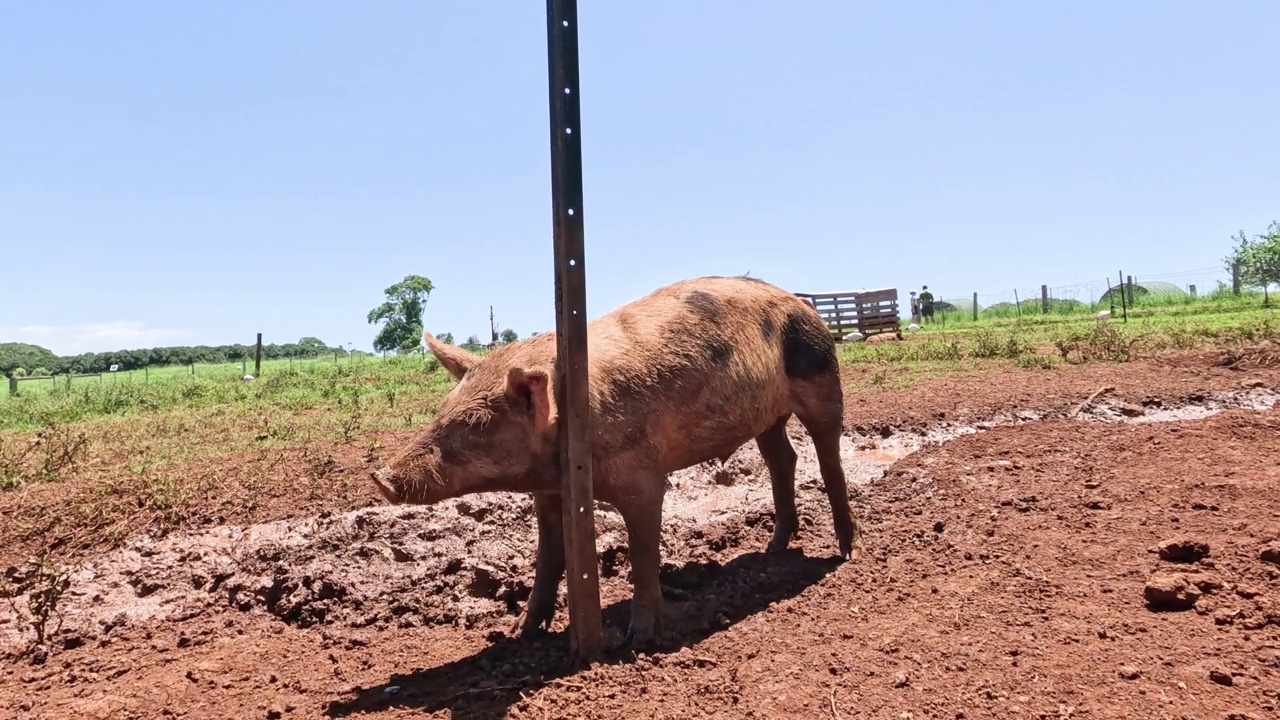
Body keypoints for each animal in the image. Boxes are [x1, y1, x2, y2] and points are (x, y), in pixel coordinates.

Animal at [373, 274, 865, 645]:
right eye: (443, 411)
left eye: (476, 424)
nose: (381, 477)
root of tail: (803, 303)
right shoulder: (546, 493)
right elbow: (548, 557)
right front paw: (520, 633)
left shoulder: (642, 479)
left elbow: (642, 552)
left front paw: (638, 639)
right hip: (766, 417)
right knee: (782, 458)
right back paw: (773, 547)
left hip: (822, 377)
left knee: (827, 455)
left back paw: (847, 550)